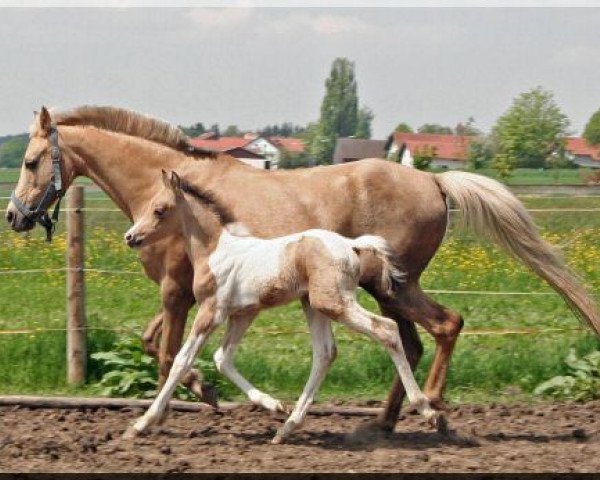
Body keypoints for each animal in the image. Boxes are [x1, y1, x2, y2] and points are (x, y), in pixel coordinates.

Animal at [123, 171, 440, 444]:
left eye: (159, 210)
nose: (130, 237)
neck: (215, 250)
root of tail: (351, 245)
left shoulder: (211, 311)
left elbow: (182, 360)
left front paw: (140, 425)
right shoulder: (243, 314)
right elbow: (222, 359)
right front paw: (275, 406)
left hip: (334, 302)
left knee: (386, 328)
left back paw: (428, 410)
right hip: (314, 305)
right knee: (325, 352)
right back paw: (287, 426)